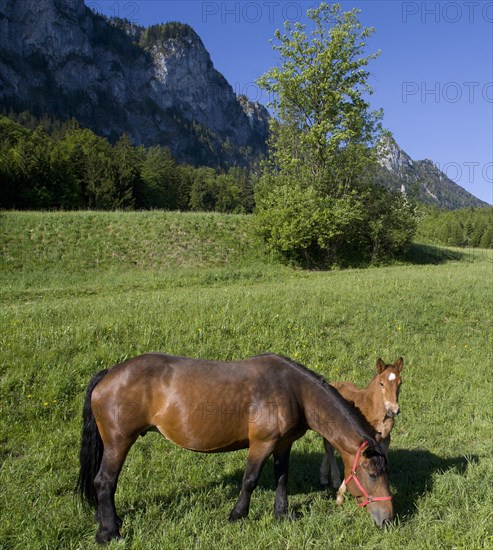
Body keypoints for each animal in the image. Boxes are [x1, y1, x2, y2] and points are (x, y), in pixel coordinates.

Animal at [320, 360, 404, 506]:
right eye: (381, 383)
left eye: (400, 383)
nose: (394, 410)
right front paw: (340, 496)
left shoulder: (385, 438)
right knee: (329, 448)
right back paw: (334, 479)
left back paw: (324, 477)